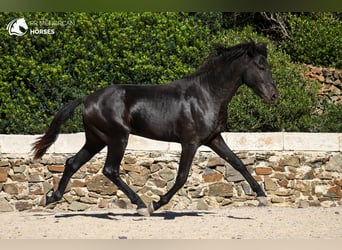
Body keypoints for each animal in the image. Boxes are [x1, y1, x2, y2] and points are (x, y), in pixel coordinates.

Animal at [32, 41, 278, 217]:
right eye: (261, 66)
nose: (274, 96)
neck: (206, 94)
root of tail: (87, 98)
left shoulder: (214, 139)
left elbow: (239, 163)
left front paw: (262, 196)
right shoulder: (190, 142)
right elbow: (181, 177)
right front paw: (156, 204)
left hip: (96, 140)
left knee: (72, 162)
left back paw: (52, 198)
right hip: (117, 138)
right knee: (110, 170)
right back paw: (141, 205)